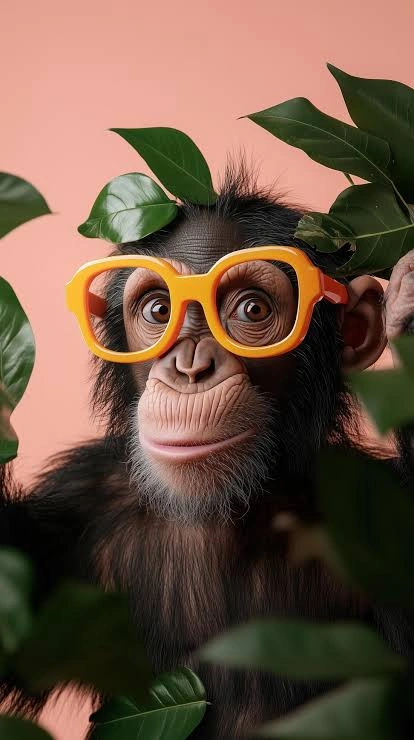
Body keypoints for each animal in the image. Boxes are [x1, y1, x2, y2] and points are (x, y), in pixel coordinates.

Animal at [1, 164, 414, 739]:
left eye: (252, 309)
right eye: (158, 310)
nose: (190, 367)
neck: (233, 512)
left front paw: (409, 308)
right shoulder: (75, 509)